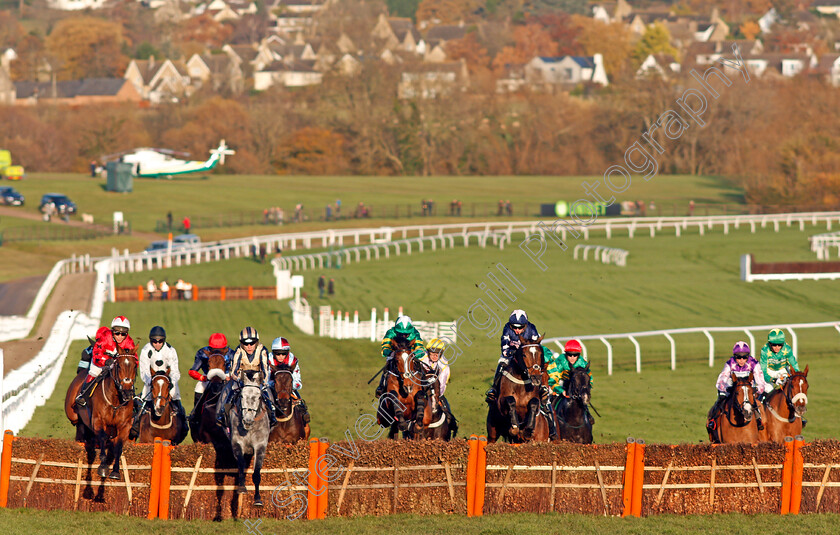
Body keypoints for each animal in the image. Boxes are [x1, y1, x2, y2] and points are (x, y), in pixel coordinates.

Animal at [71, 350, 138, 480]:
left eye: (135, 366)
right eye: (118, 366)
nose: (127, 392)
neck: (115, 401)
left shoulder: (125, 426)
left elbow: (118, 447)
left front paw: (115, 471)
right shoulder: (98, 421)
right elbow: (102, 438)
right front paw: (103, 467)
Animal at [218, 370, 270, 508]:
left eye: (259, 397)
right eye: (241, 396)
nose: (247, 420)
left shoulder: (260, 445)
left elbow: (256, 473)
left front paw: (257, 499)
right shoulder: (237, 442)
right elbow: (241, 465)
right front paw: (241, 488)